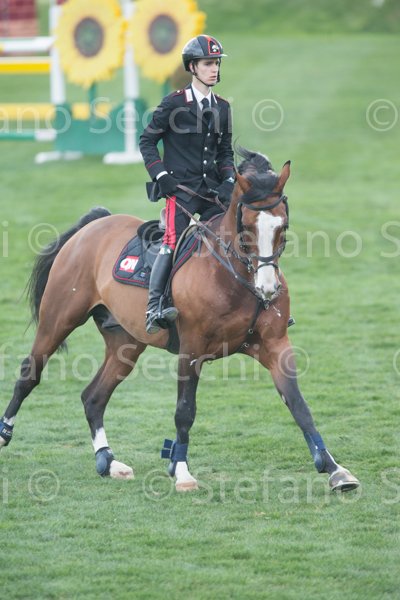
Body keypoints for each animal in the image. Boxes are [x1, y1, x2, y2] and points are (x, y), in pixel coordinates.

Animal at [0, 148, 359, 493]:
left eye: (282, 227)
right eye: (246, 229)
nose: (268, 289)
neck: (235, 279)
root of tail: (93, 226)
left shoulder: (274, 345)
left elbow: (299, 406)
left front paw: (334, 469)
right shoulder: (192, 349)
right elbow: (185, 410)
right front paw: (182, 472)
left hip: (125, 344)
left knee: (93, 397)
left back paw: (108, 462)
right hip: (59, 319)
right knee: (29, 374)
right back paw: (6, 432)